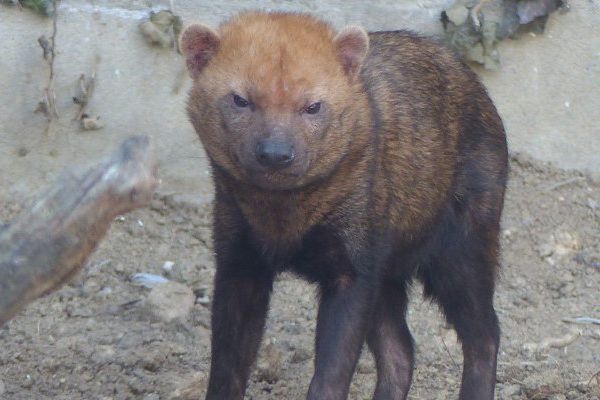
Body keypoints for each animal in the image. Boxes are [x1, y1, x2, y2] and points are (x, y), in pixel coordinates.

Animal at [180, 10, 508, 398]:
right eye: (240, 99)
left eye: (313, 105)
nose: (275, 154)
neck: (283, 220)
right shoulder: (238, 260)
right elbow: (227, 367)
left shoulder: (354, 267)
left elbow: (332, 372)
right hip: (388, 273)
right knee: (401, 350)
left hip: (462, 247)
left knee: (484, 335)